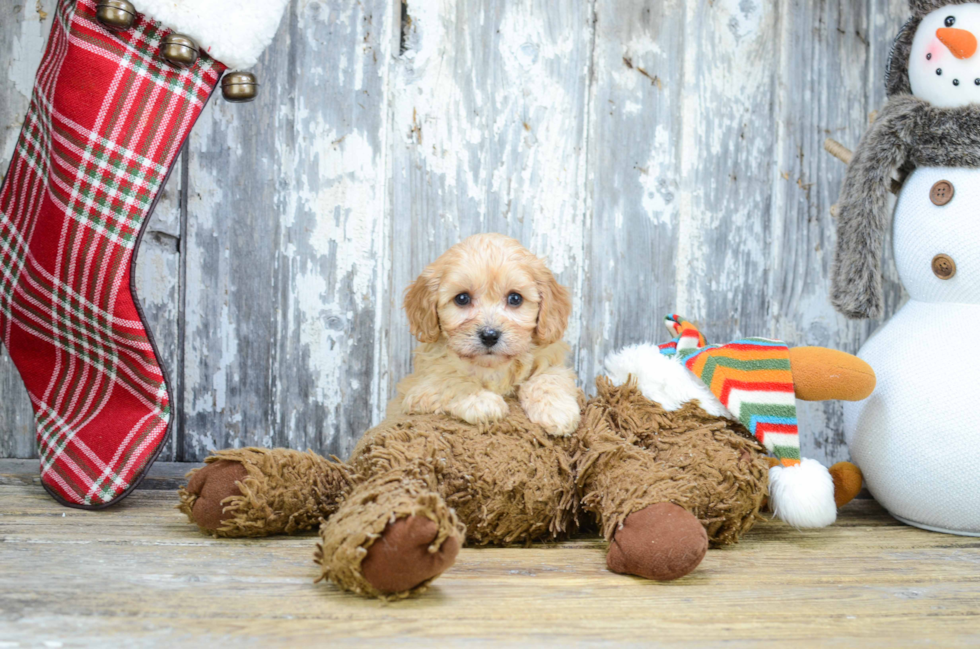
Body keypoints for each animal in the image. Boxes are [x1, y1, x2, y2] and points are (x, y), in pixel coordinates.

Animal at [386, 233, 580, 436]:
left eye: (515, 298)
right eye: (462, 298)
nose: (489, 336)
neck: (492, 367)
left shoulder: (551, 359)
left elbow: (549, 376)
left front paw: (557, 410)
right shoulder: (415, 389)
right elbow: (451, 382)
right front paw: (484, 402)